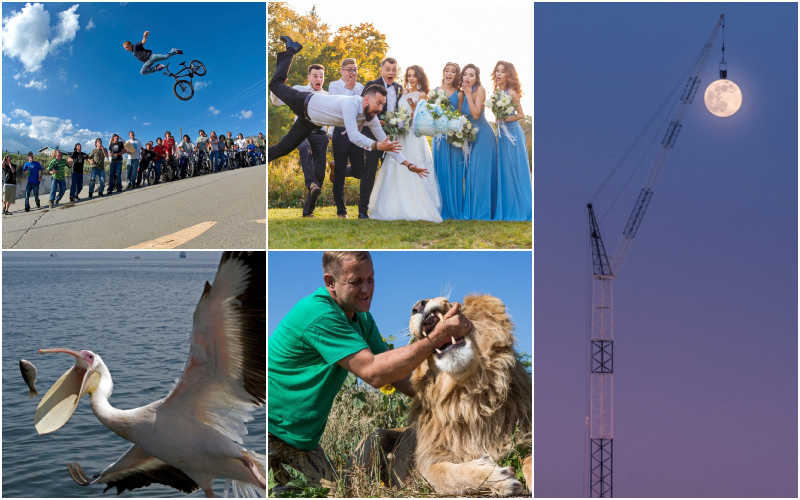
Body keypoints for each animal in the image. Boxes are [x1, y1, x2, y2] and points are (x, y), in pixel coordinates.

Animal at [404, 292, 536, 496]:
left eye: (457, 306)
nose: (418, 306)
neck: (468, 394)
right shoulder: (428, 461)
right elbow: (443, 475)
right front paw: (499, 478)